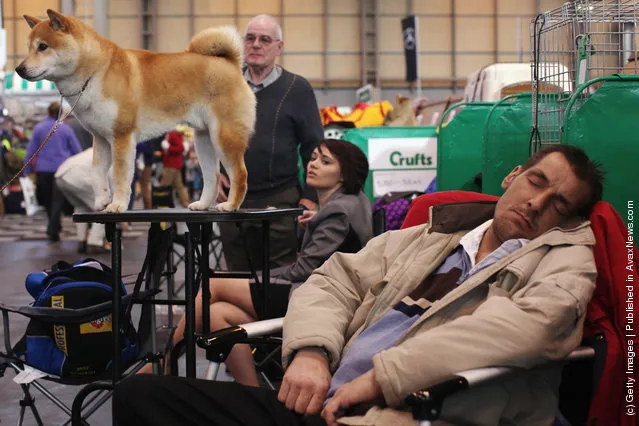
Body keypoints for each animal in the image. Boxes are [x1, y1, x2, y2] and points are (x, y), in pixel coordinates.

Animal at [15, 10, 255, 213]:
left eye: (43, 46)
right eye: (29, 47)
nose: (19, 69)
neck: (96, 72)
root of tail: (230, 63)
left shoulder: (122, 137)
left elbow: (120, 176)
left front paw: (117, 205)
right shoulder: (101, 138)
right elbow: (97, 172)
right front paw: (101, 201)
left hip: (224, 137)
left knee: (240, 174)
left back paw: (230, 205)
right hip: (204, 140)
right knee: (212, 177)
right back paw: (202, 204)